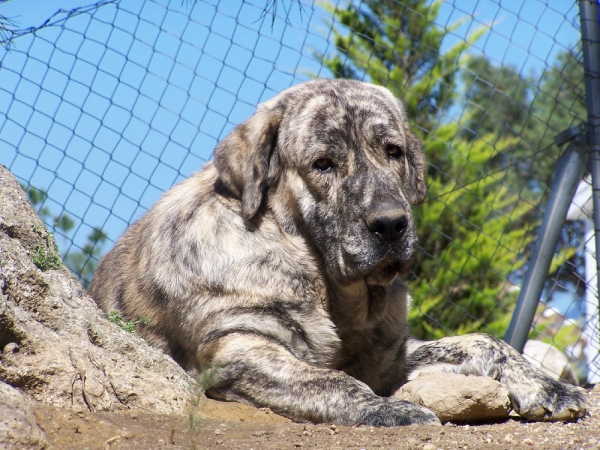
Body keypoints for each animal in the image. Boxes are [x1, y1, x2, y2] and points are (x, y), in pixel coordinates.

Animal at [89, 78, 584, 426]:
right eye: (323, 164)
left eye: (393, 151)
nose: (391, 224)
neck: (333, 290)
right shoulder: (238, 346)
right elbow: (332, 379)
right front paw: (389, 410)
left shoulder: (390, 355)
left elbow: (484, 340)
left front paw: (548, 386)